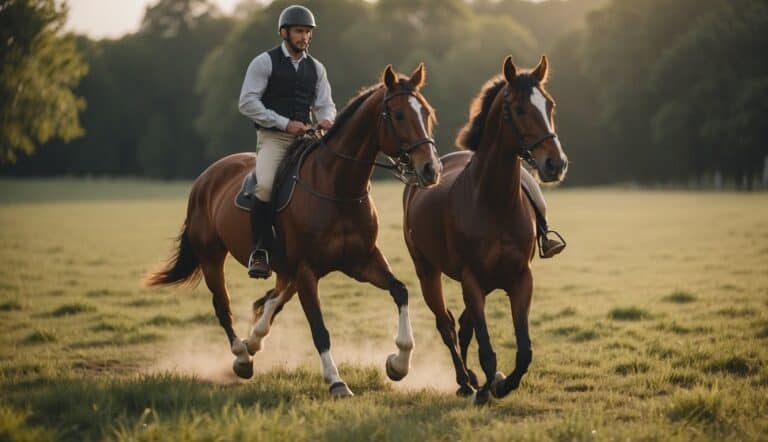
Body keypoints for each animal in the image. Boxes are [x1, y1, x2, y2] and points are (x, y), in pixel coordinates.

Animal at [146, 64, 440, 398]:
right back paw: (242, 356)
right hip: (212, 258)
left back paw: (253, 341)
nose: (431, 169)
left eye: (427, 113)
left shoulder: (361, 262)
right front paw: (336, 381)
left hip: (282, 267)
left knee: (272, 299)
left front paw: (398, 364)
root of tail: (207, 177)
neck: (336, 186)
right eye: (400, 115)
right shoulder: (307, 271)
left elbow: (400, 290)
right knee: (224, 307)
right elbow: (319, 329)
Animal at [404, 55, 568, 404]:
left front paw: (501, 384)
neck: (495, 202)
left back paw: (472, 380)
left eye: (549, 105)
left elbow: (524, 350)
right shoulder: (472, 281)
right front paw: (490, 387)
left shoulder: (520, 279)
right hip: (428, 274)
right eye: (519, 109)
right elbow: (486, 346)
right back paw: (465, 382)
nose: (555, 164)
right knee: (447, 325)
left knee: (462, 326)